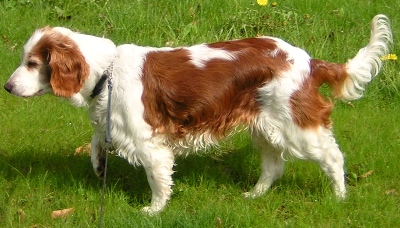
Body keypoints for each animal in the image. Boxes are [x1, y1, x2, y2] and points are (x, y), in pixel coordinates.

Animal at [2, 14, 390, 214]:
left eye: (32, 63)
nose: (6, 86)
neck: (106, 71)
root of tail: (310, 60)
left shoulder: (150, 144)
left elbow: (158, 181)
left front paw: (153, 212)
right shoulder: (113, 122)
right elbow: (97, 140)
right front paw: (98, 165)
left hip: (296, 126)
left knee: (333, 158)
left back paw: (339, 198)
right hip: (264, 127)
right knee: (273, 166)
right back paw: (254, 195)